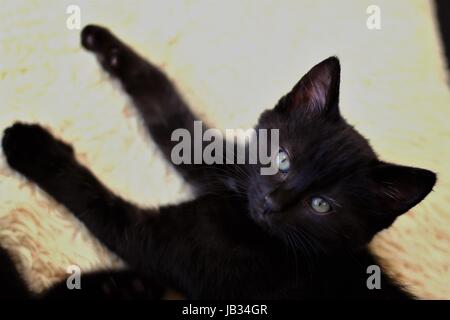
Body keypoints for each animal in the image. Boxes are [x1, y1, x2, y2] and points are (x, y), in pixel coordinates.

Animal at [0, 25, 436, 300]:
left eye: (322, 206)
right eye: (282, 158)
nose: (271, 203)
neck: (248, 221)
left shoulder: (164, 244)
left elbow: (94, 200)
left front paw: (30, 145)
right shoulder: (230, 168)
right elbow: (169, 110)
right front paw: (106, 45)